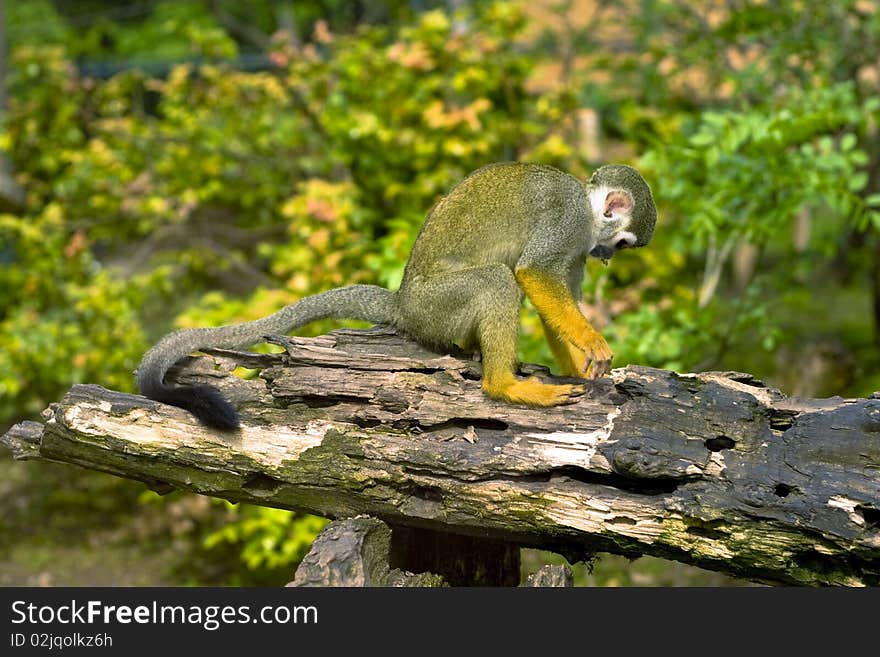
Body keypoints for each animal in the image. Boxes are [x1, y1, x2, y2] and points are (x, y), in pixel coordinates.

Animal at [138, 163, 656, 430]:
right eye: (623, 243)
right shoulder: (567, 220)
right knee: (496, 280)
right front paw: (594, 345)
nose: (606, 257)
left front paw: (579, 366)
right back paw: (503, 386)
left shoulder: (576, 246)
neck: (587, 209)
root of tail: (403, 304)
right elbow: (533, 273)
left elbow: (551, 291)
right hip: (437, 308)